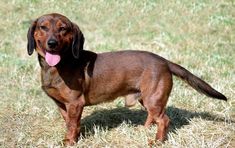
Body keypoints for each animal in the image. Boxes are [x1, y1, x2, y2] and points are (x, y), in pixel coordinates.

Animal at [26, 13, 227, 145]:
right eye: (43, 27)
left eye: (63, 28)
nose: (52, 43)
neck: (59, 65)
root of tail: (164, 61)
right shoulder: (63, 105)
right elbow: (70, 123)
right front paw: (72, 137)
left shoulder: (75, 103)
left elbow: (72, 125)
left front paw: (70, 141)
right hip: (146, 99)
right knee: (153, 117)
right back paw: (145, 130)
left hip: (153, 99)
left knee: (164, 120)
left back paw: (157, 141)